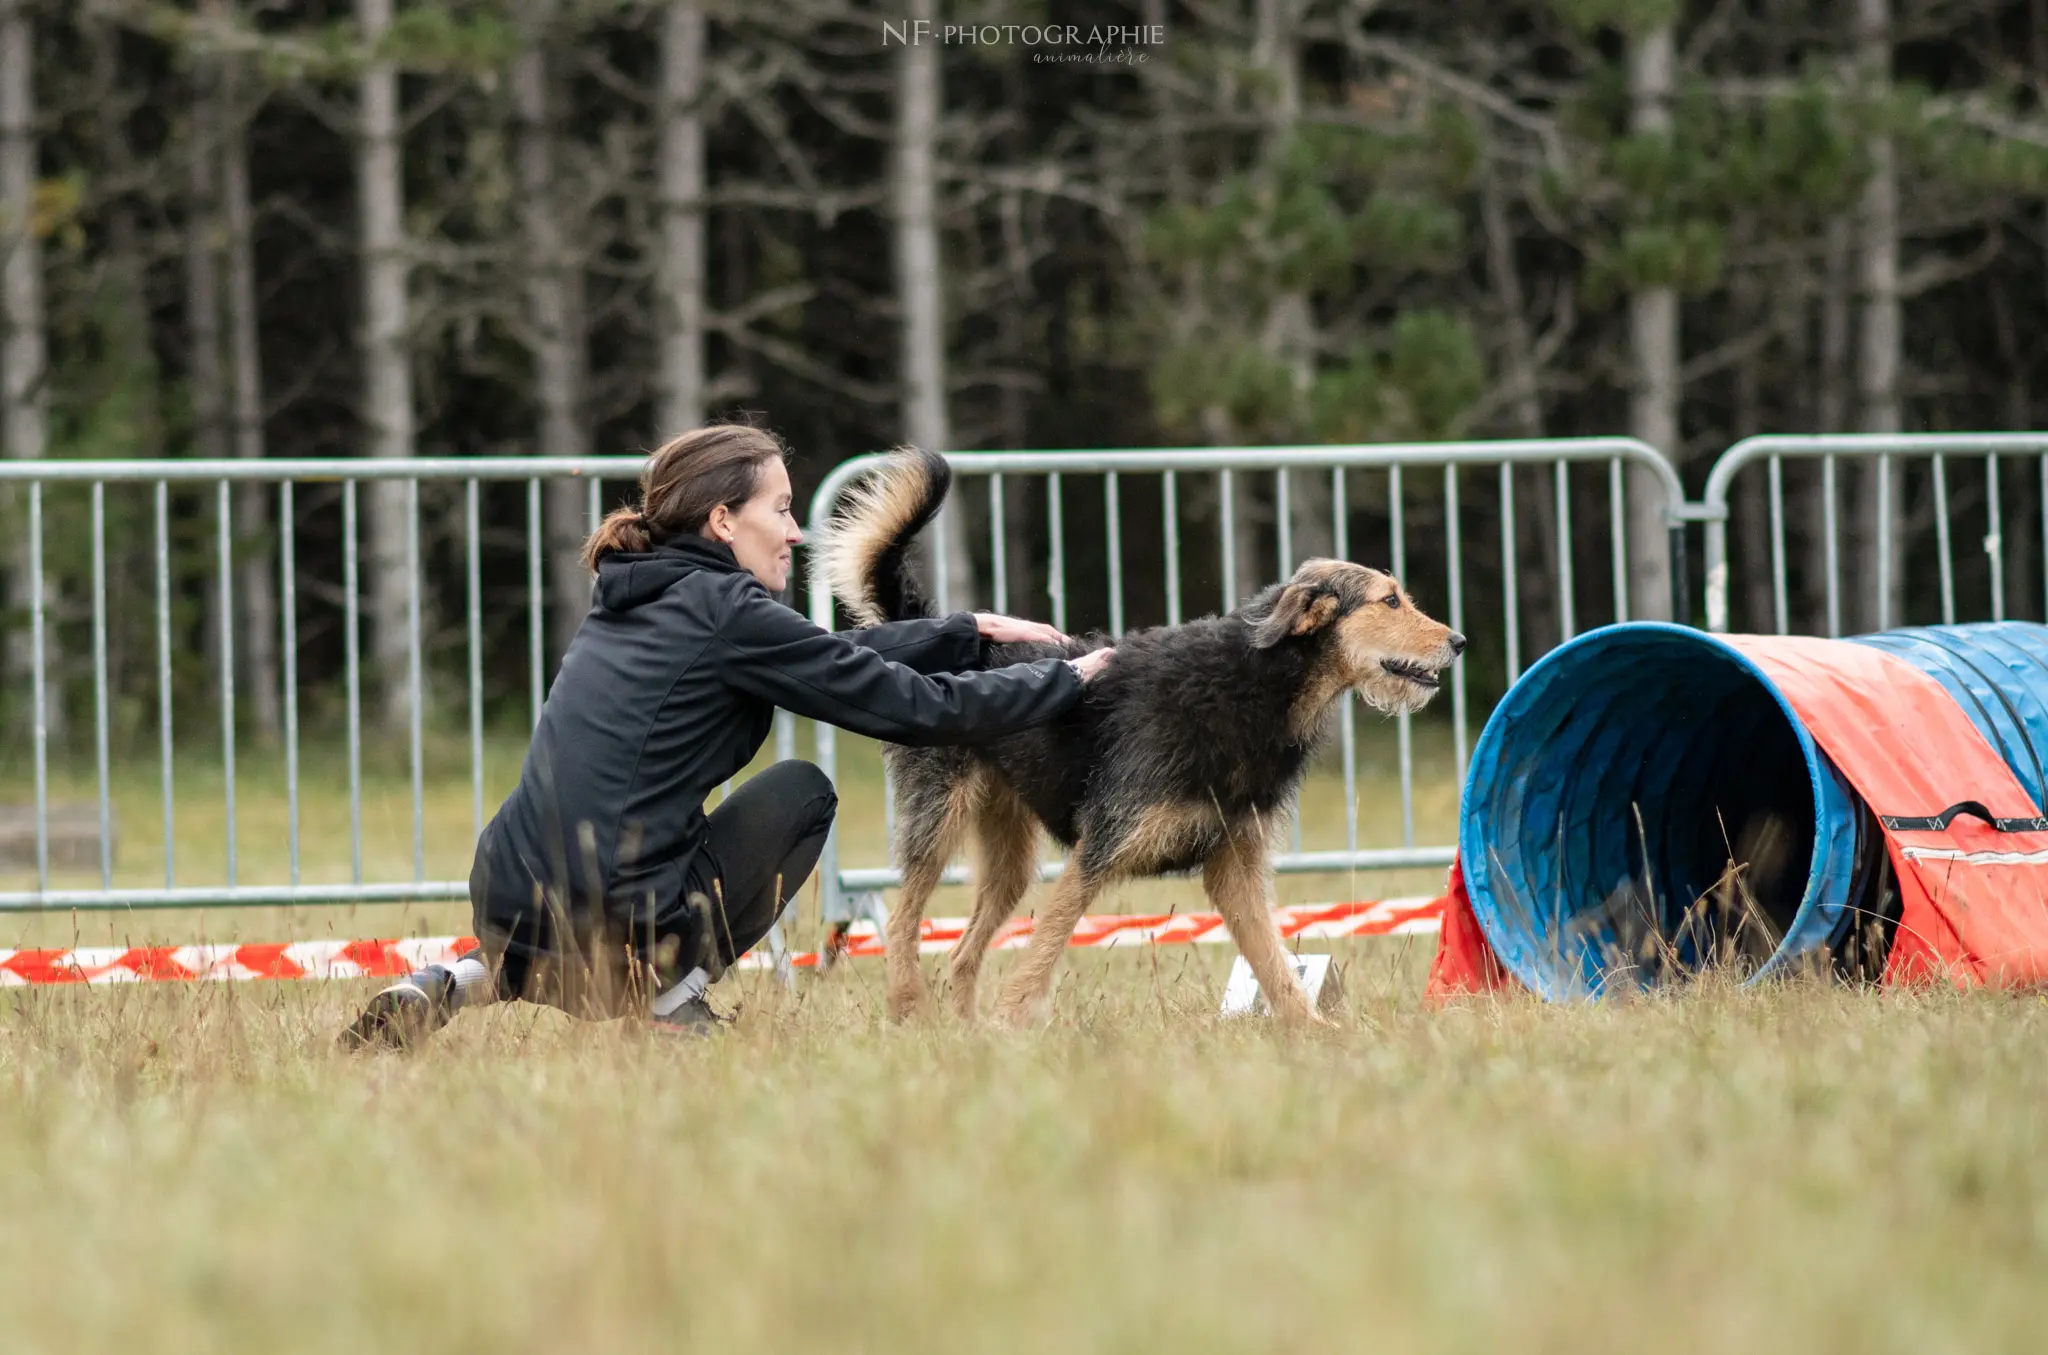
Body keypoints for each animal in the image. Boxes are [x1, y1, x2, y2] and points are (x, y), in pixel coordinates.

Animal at [806, 448, 1466, 1031]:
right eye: (1389, 600)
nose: (1459, 641)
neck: (1253, 681)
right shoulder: (1101, 846)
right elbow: (1046, 944)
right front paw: (1014, 1021)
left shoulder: (1234, 863)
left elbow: (1273, 960)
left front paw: (1317, 1032)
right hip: (937, 818)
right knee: (902, 924)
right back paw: (910, 1015)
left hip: (1011, 857)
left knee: (964, 952)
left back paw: (966, 1033)